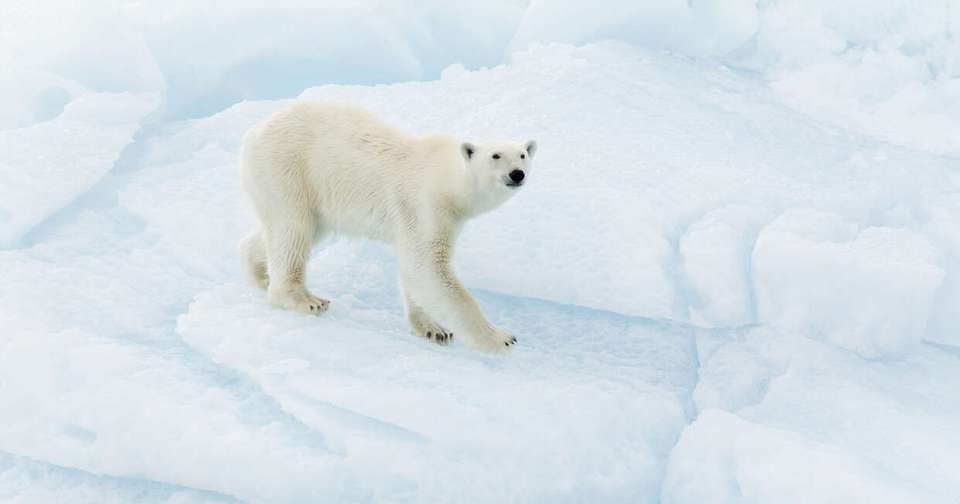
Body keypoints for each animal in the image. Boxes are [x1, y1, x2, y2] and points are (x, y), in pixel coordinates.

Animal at [238, 101, 537, 352]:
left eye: (523, 155)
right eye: (495, 156)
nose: (517, 174)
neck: (448, 179)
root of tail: (253, 132)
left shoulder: (431, 220)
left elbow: (414, 268)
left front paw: (434, 329)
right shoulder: (426, 205)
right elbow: (427, 267)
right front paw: (501, 338)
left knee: (289, 230)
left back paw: (259, 274)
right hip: (289, 170)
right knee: (293, 229)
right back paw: (306, 299)